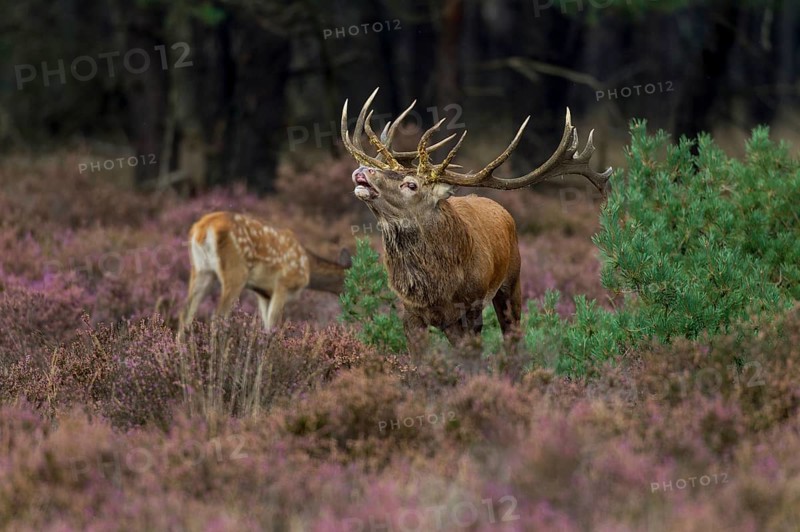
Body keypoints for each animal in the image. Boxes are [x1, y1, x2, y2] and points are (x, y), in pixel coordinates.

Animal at [179, 211, 352, 334]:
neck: (307, 266)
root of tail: (203, 229)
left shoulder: (263, 292)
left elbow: (266, 326)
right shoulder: (283, 284)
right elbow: (273, 327)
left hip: (201, 270)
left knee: (185, 315)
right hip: (235, 271)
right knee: (218, 317)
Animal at [340, 88, 612, 355]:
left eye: (411, 184)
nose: (364, 170)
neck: (437, 288)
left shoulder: (471, 308)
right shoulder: (410, 311)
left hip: (512, 280)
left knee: (512, 334)